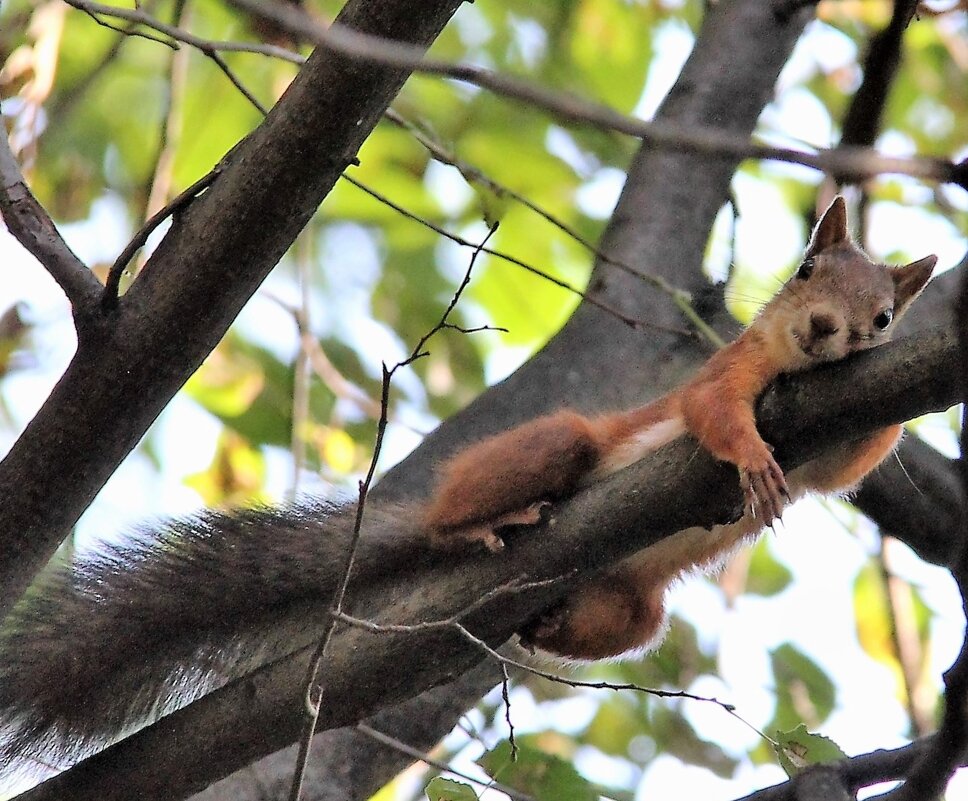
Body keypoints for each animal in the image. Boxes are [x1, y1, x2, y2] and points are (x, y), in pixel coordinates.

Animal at [0, 195, 936, 776]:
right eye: (806, 270)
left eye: (884, 317)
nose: (823, 329)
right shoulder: (724, 369)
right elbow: (714, 412)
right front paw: (748, 457)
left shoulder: (828, 443)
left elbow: (847, 465)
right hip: (559, 443)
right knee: (471, 505)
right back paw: (480, 525)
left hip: (637, 601)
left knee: (630, 621)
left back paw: (550, 625)